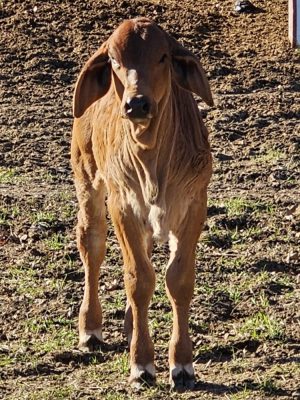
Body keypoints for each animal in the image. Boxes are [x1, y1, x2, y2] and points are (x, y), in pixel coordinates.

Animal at [71, 17, 213, 390]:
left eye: (162, 56)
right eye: (115, 60)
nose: (137, 104)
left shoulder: (194, 204)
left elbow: (178, 279)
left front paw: (182, 365)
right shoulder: (123, 205)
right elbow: (138, 279)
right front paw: (142, 364)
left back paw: (129, 325)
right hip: (87, 177)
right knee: (92, 243)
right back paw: (91, 328)